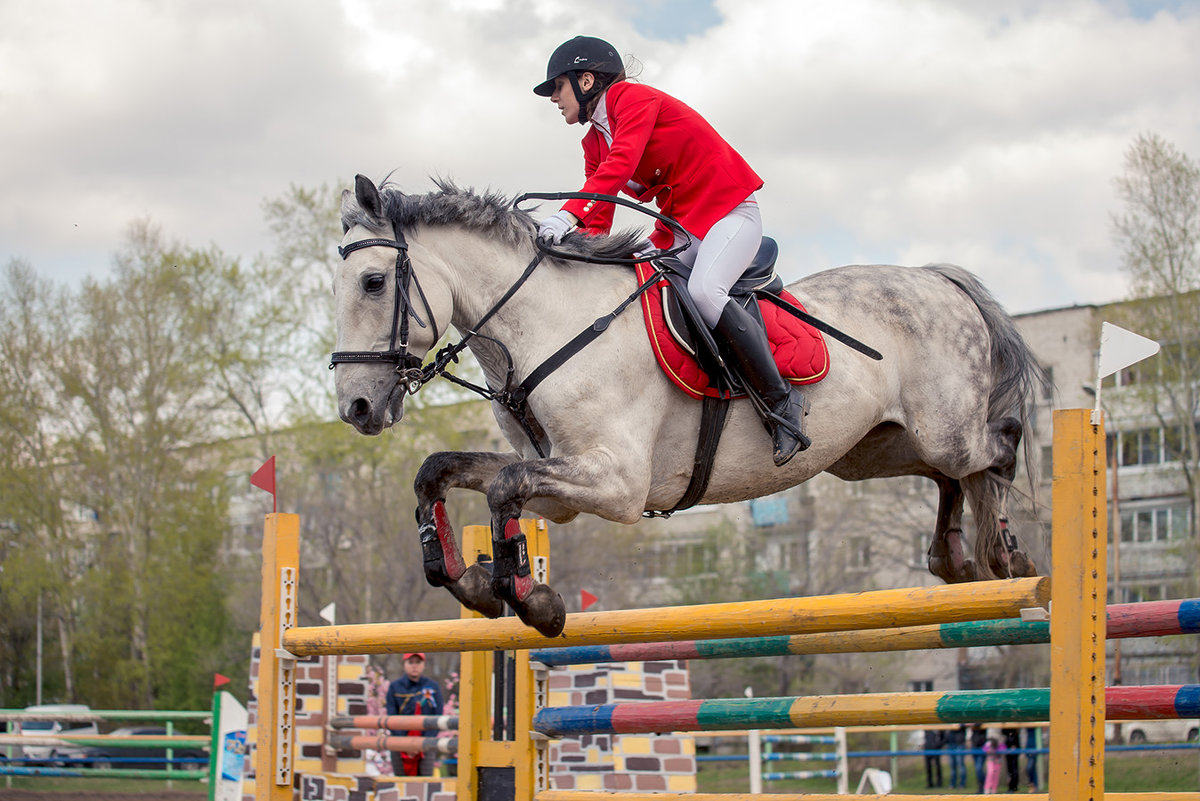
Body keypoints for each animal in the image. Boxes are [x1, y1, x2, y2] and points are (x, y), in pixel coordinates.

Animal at [328, 176, 1041, 637]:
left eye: (374, 282)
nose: (356, 407)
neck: (547, 324)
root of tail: (939, 277)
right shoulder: (558, 488)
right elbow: (441, 473)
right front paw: (473, 582)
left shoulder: (616, 483)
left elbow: (504, 488)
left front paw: (533, 601)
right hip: (873, 450)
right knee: (949, 476)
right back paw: (957, 559)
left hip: (944, 428)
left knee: (996, 449)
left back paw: (1010, 556)